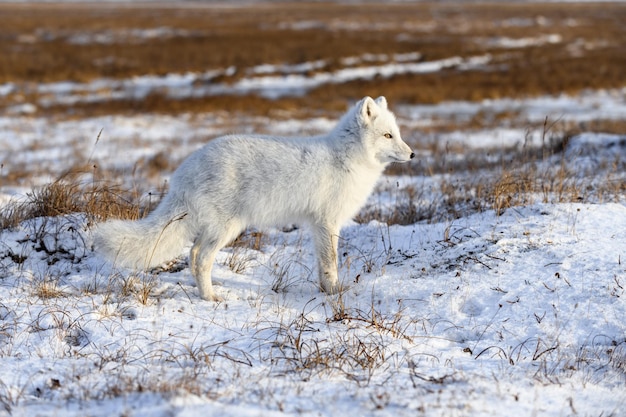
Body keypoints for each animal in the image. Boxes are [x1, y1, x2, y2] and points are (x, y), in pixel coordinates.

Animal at [95, 96, 412, 300]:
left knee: (193, 254)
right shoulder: (327, 223)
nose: (412, 154)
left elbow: (322, 265)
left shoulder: (317, 226)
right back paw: (210, 297)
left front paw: (325, 290)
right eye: (387, 136)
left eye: (397, 134)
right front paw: (335, 293)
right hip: (227, 228)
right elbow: (330, 264)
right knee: (201, 258)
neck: (345, 159)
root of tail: (183, 172)